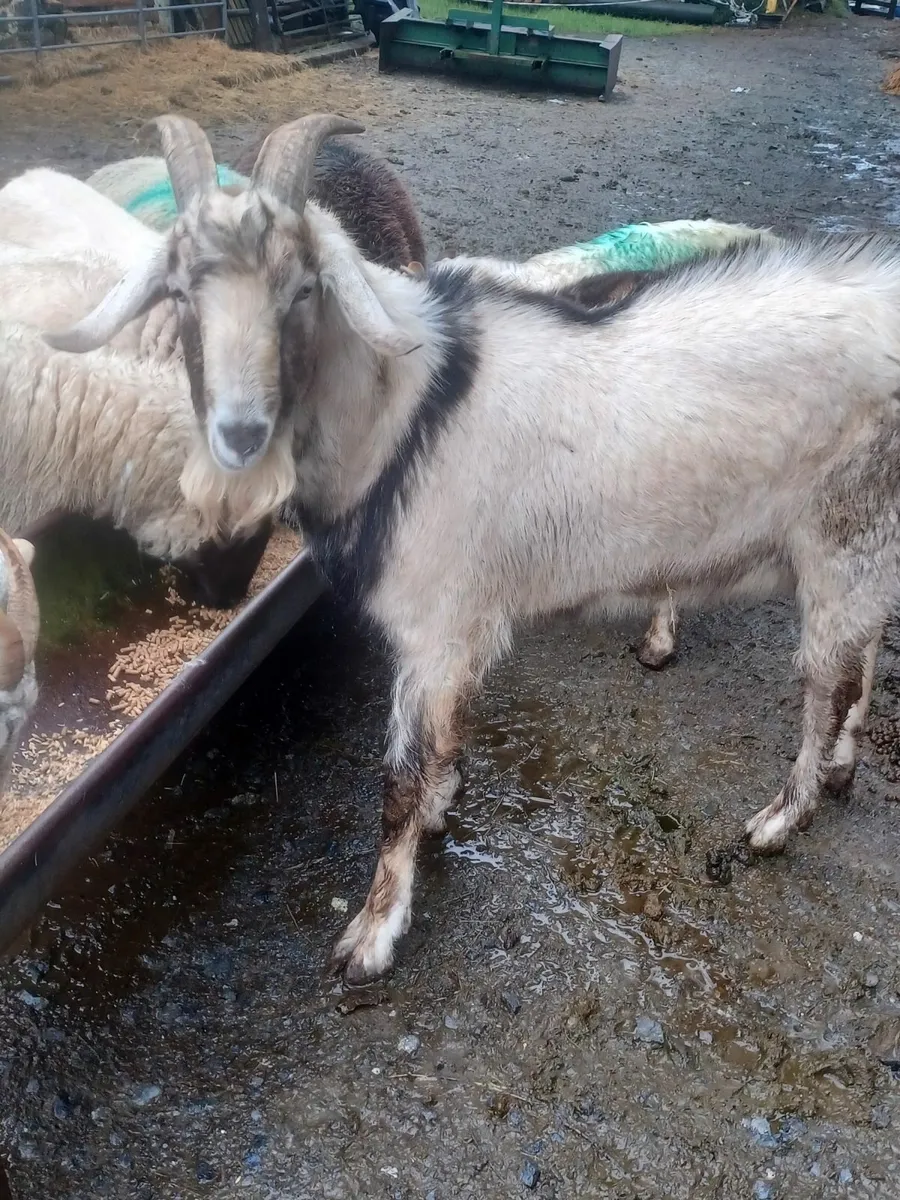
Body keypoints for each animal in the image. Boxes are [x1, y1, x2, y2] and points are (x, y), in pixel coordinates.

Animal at [46, 113, 900, 986]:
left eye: (304, 289)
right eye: (181, 293)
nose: (240, 434)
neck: (401, 415)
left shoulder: (430, 623)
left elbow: (397, 778)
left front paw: (374, 931)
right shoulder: (460, 621)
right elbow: (447, 730)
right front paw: (444, 795)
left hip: (843, 529)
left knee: (826, 680)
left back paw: (778, 820)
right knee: (866, 648)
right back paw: (839, 768)